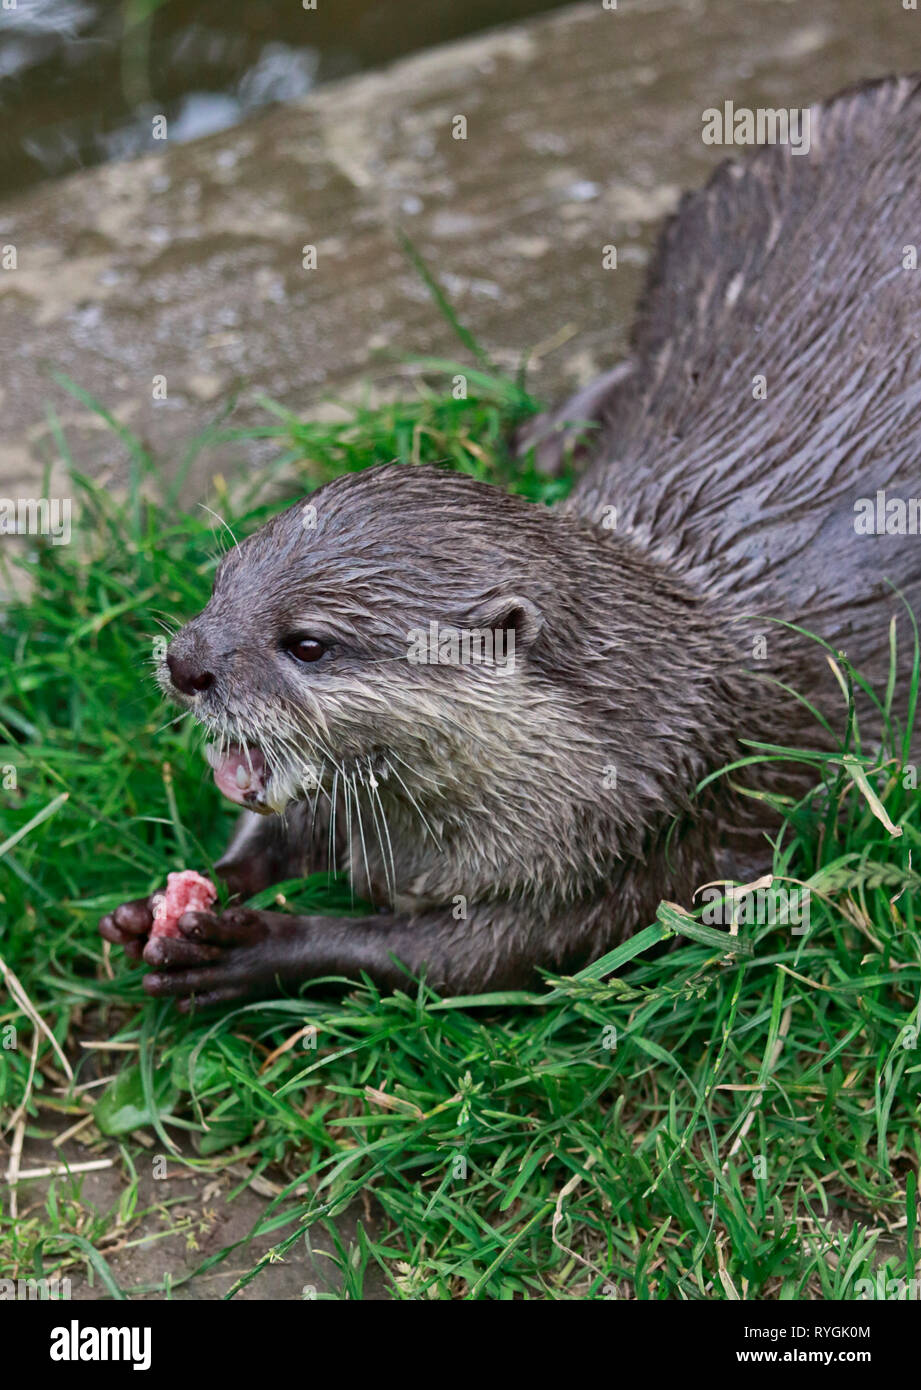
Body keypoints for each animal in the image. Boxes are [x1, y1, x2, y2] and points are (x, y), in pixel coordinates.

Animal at [100, 75, 921, 1008]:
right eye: (221, 579)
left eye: (307, 643)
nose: (185, 661)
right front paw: (166, 900)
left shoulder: (635, 848)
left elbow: (457, 963)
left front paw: (255, 949)